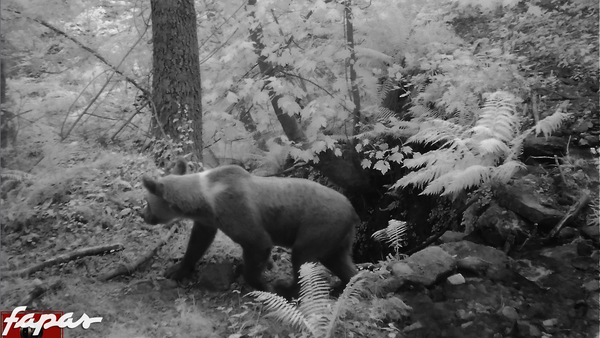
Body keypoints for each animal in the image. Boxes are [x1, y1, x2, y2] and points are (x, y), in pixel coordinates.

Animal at [139, 158, 360, 298]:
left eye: (148, 202)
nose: (143, 215)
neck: (205, 201)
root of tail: (353, 210)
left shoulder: (236, 211)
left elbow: (258, 245)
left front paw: (264, 285)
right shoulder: (208, 221)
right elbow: (197, 243)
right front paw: (176, 270)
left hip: (318, 226)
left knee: (302, 258)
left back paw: (287, 288)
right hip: (336, 237)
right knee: (339, 261)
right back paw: (342, 286)